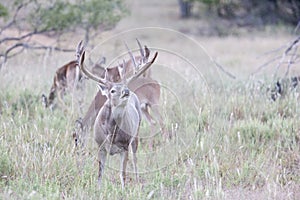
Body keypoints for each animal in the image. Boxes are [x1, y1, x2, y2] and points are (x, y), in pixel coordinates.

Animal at [76, 40, 158, 188]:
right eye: (112, 90)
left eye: (125, 87)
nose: (126, 92)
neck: (111, 133)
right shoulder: (100, 146)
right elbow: (100, 174)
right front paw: (98, 189)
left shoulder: (124, 147)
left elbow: (123, 174)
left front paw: (124, 189)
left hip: (136, 133)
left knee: (135, 158)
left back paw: (137, 179)